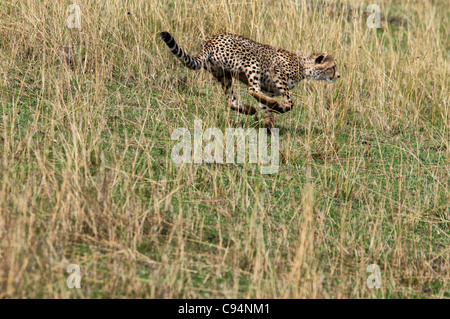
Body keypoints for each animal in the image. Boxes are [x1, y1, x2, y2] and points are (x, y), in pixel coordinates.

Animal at [160, 31, 340, 132]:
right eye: (333, 67)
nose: (338, 76)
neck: (303, 65)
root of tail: (210, 41)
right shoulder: (278, 76)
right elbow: (290, 103)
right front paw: (279, 107)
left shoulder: (268, 89)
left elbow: (265, 107)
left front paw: (269, 126)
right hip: (252, 61)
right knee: (251, 90)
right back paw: (269, 105)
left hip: (223, 75)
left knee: (231, 101)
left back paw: (249, 110)